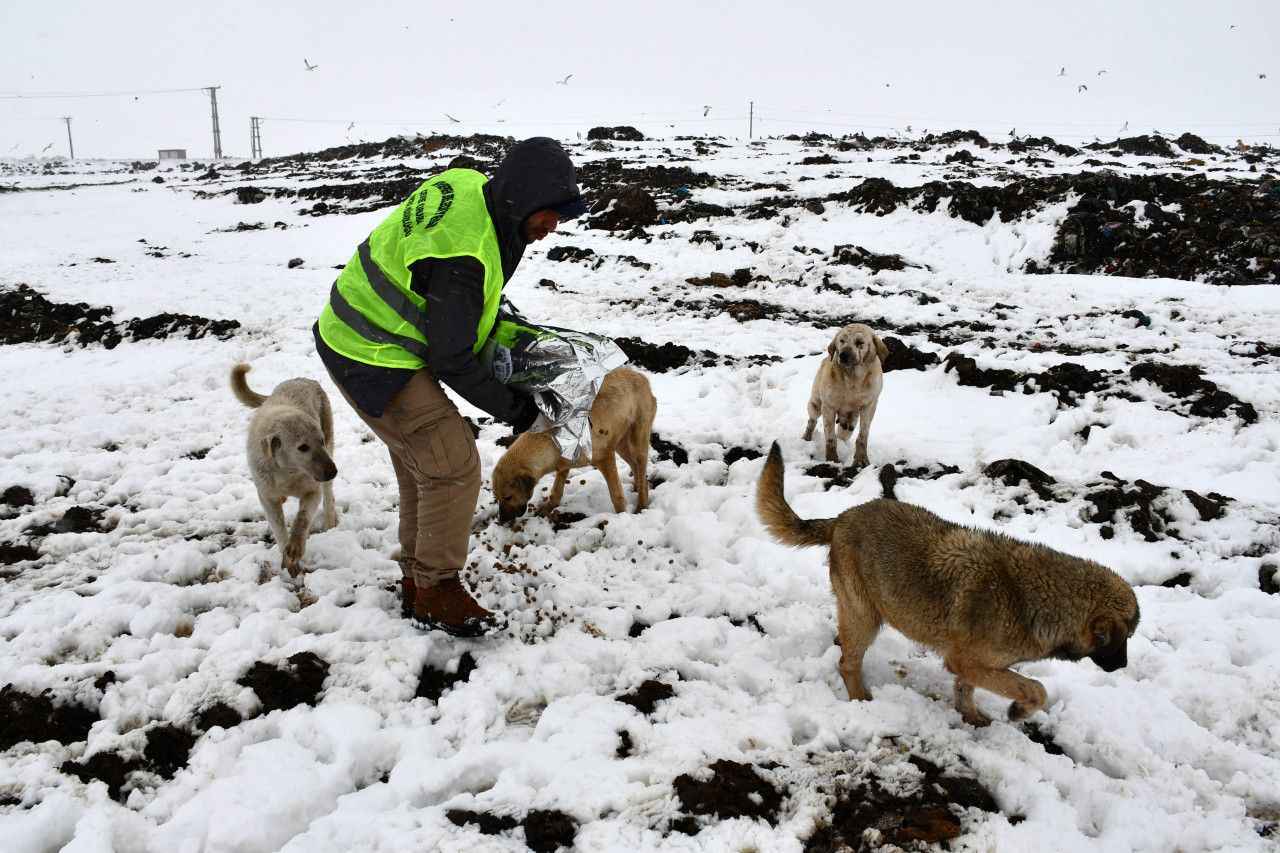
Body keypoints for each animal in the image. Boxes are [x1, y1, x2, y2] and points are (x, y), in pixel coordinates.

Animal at [231, 361, 337, 573]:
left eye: (320, 441)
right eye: (302, 447)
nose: (333, 471)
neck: (287, 472)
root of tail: (303, 379)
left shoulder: (312, 490)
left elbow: (302, 518)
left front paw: (295, 547)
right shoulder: (267, 497)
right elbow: (278, 527)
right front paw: (287, 559)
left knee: (328, 494)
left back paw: (330, 520)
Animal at [486, 363, 655, 522]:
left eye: (508, 497)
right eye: (497, 498)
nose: (501, 520)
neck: (548, 440)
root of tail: (640, 375)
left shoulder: (605, 458)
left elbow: (616, 496)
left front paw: (621, 515)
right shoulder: (563, 464)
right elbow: (557, 489)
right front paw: (549, 506)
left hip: (638, 440)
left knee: (641, 468)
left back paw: (641, 504)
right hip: (620, 443)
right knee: (635, 466)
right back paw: (637, 488)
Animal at [752, 440, 1136, 727]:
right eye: (1121, 638)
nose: (1123, 667)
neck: (1035, 598)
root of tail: (843, 517)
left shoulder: (978, 666)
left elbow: (967, 691)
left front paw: (972, 717)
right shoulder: (966, 661)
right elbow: (1035, 688)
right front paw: (1017, 710)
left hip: (859, 613)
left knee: (844, 645)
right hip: (866, 618)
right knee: (847, 663)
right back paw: (862, 700)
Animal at [798, 320, 890, 466]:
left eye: (859, 342)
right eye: (841, 340)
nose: (843, 355)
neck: (853, 380)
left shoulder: (869, 406)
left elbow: (863, 436)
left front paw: (861, 459)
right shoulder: (828, 407)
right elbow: (830, 438)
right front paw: (832, 459)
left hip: (850, 422)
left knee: (844, 432)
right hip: (815, 404)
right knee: (812, 421)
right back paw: (807, 437)